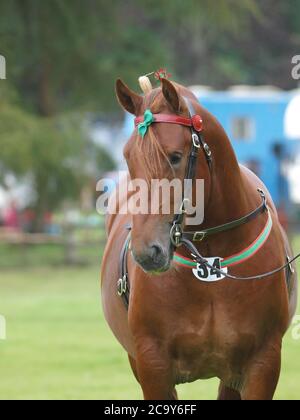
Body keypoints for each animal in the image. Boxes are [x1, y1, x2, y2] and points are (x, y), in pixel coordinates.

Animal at [101, 78, 298, 400]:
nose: (147, 252)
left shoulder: (262, 362)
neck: (210, 258)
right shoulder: (151, 364)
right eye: (129, 157)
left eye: (175, 156)